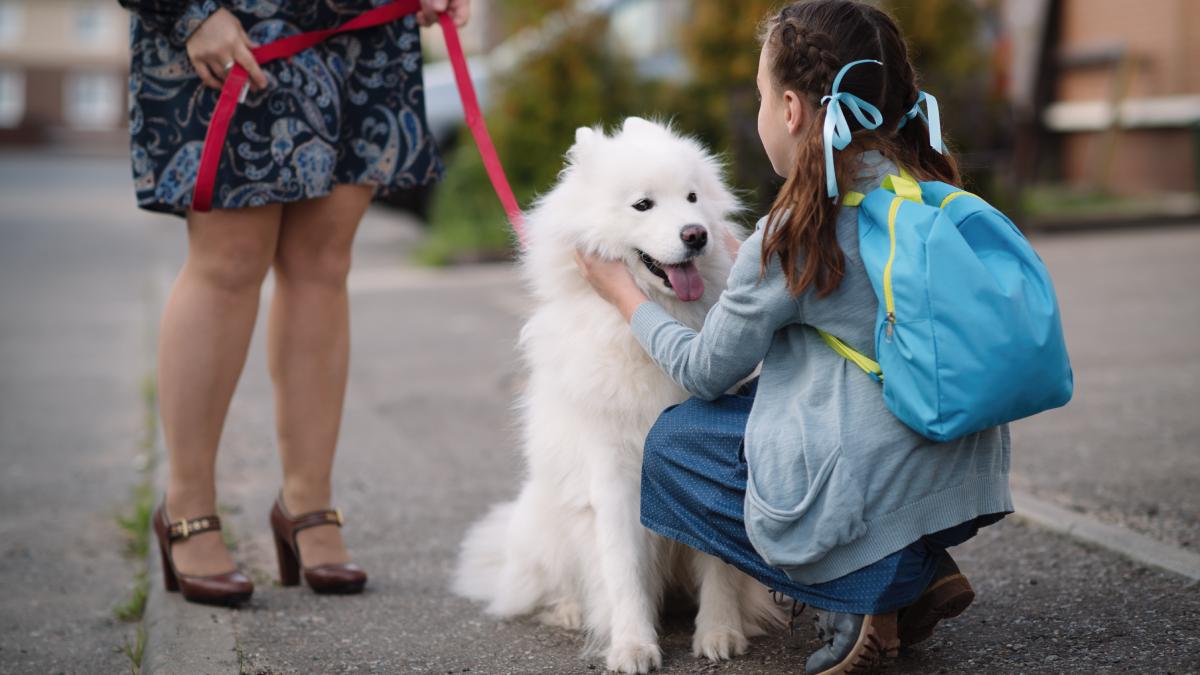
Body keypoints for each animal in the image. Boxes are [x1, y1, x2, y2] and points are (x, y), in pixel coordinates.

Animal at [453, 118, 782, 667]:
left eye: (692, 198)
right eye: (643, 205)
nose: (696, 234)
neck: (660, 320)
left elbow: (715, 565)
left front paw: (718, 632)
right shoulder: (612, 472)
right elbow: (622, 569)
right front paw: (631, 644)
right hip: (548, 520)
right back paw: (570, 610)